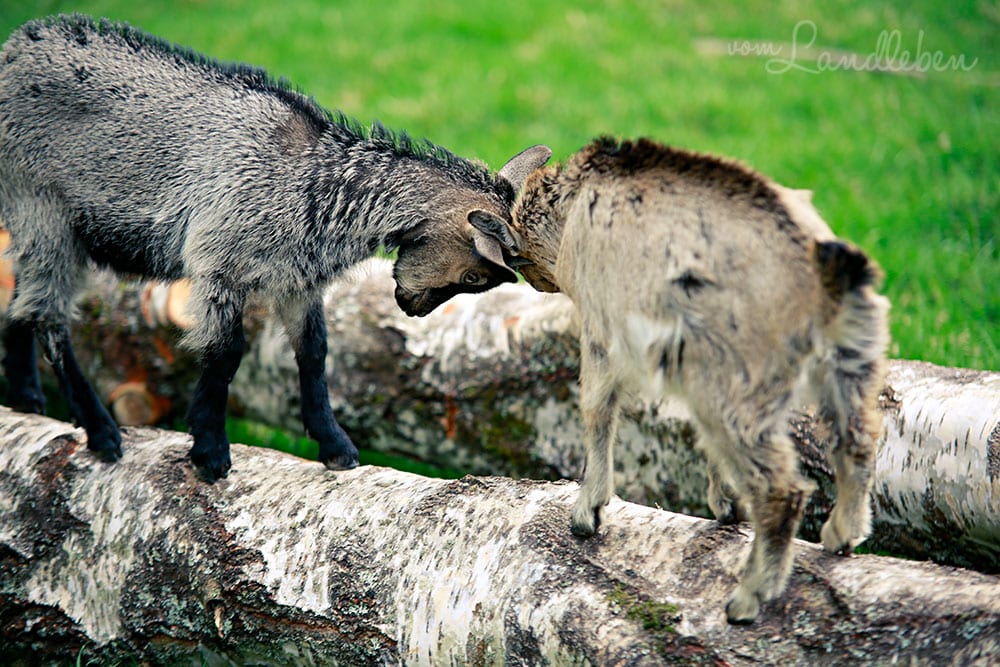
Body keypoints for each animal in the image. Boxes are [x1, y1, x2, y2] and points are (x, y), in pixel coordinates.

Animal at [0, 15, 551, 481]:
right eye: (475, 276)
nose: (413, 310)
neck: (316, 185)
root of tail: (15, 47)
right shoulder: (218, 264)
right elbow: (225, 354)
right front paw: (210, 452)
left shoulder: (296, 282)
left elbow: (314, 352)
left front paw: (335, 446)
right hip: (43, 209)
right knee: (48, 315)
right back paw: (101, 432)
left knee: (20, 301)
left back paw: (26, 399)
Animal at [472, 137, 889, 623]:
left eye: (516, 255)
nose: (539, 284)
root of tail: (822, 275)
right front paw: (725, 506)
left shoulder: (603, 329)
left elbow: (596, 407)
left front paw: (586, 513)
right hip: (849, 360)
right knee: (857, 441)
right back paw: (842, 535)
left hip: (739, 381)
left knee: (781, 488)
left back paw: (748, 599)